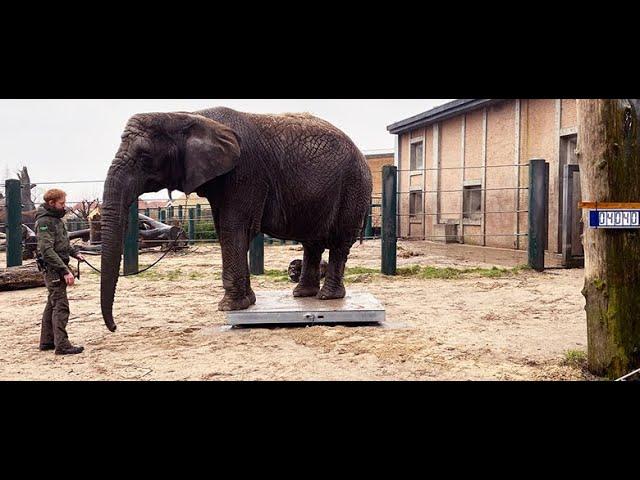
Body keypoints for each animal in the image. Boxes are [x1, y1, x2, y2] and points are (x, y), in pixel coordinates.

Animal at [100, 107, 376, 332]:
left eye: (145, 156)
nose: (114, 328)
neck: (188, 115)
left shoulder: (245, 173)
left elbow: (235, 229)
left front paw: (230, 307)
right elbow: (226, 230)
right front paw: (245, 303)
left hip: (354, 186)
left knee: (338, 242)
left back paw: (327, 298)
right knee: (313, 242)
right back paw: (301, 294)